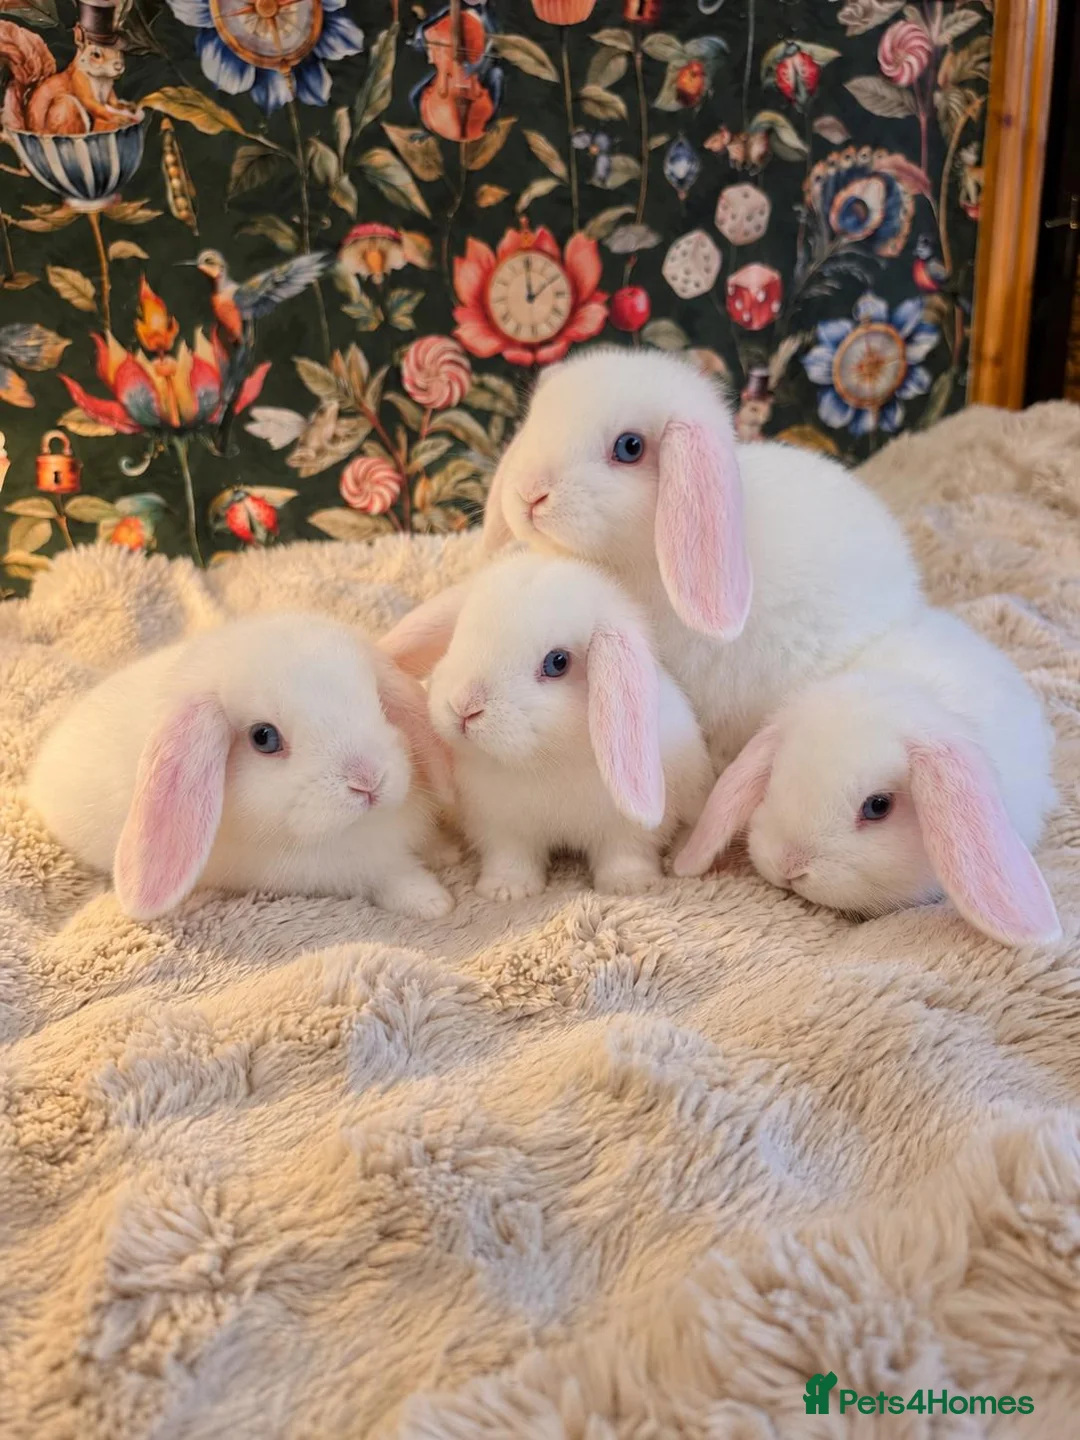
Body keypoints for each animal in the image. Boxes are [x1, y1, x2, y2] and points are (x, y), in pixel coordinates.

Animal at [27, 611, 456, 921]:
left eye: (379, 703)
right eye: (263, 737)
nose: (368, 780)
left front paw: (444, 853)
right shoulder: (338, 872)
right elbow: (388, 876)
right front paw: (432, 902)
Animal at [427, 552, 713, 900]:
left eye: (557, 662)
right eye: (456, 637)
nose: (464, 707)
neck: (550, 761)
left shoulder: (624, 829)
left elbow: (626, 854)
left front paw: (629, 886)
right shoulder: (501, 825)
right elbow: (510, 857)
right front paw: (506, 891)